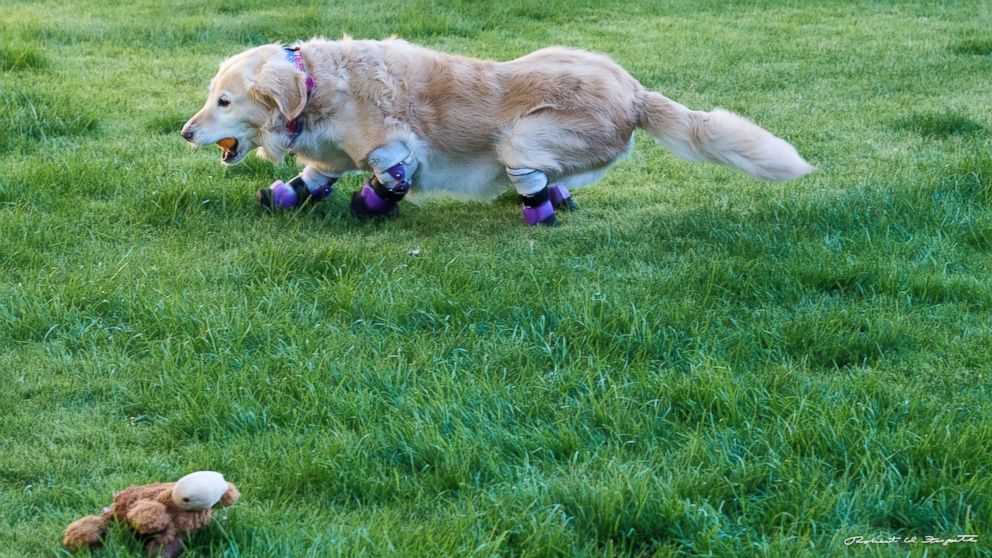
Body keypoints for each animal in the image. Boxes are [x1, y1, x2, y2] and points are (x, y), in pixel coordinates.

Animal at [180, 36, 812, 225]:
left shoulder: (395, 147)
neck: (315, 84)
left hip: (521, 138)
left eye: (224, 101)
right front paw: (284, 194)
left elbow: (388, 175)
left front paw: (372, 204)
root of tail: (636, 93)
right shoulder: (331, 152)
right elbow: (316, 174)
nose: (185, 133)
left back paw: (539, 210)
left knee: (531, 174)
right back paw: (556, 199)